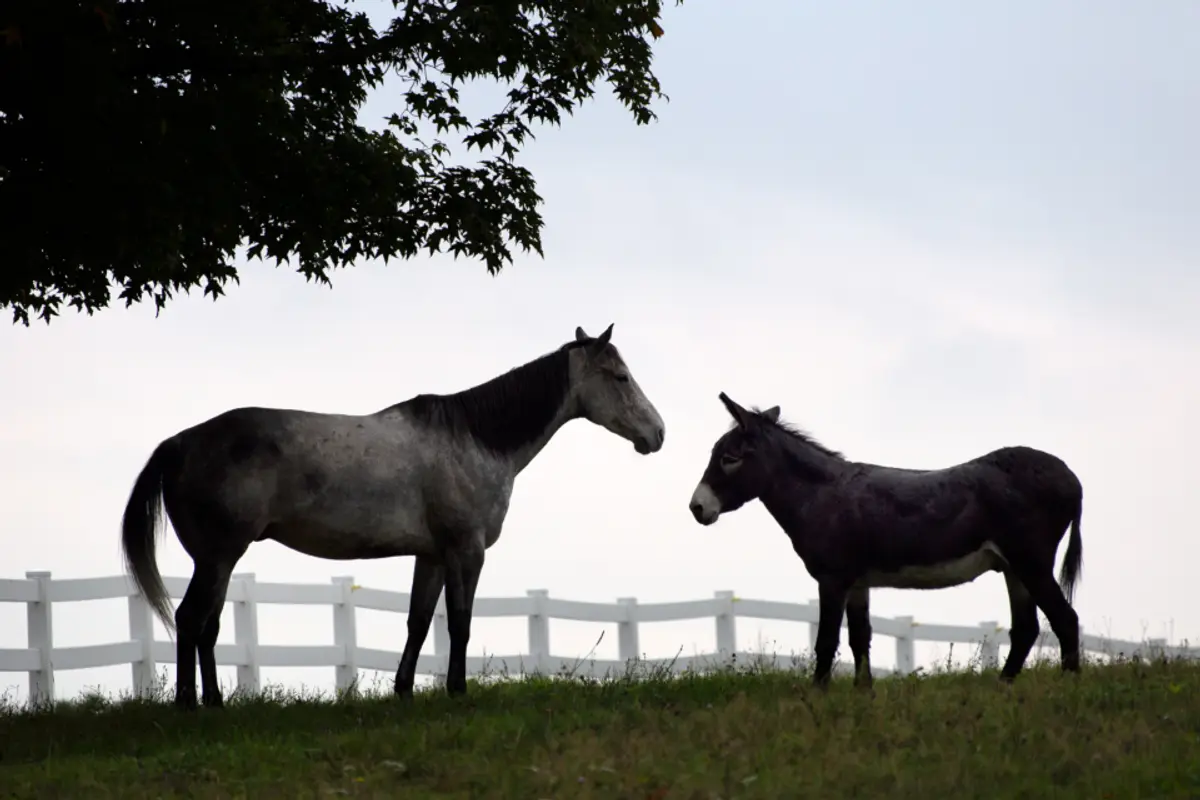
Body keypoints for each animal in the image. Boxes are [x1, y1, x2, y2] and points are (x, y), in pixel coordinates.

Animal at [121, 323, 666, 709]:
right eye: (620, 377)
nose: (657, 433)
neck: (474, 438)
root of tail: (179, 443)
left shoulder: (432, 556)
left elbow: (419, 623)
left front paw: (404, 690)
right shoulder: (465, 552)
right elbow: (460, 623)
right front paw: (457, 691)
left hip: (219, 561)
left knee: (207, 626)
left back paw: (214, 702)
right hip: (218, 557)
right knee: (191, 620)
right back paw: (190, 705)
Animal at [687, 392, 1083, 688]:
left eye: (729, 458)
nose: (696, 507)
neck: (821, 495)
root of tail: (1071, 476)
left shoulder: (832, 579)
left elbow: (826, 640)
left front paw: (817, 697)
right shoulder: (858, 581)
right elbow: (860, 637)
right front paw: (863, 695)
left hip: (1030, 560)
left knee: (1065, 619)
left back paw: (1069, 687)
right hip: (1013, 567)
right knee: (1027, 629)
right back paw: (1003, 688)